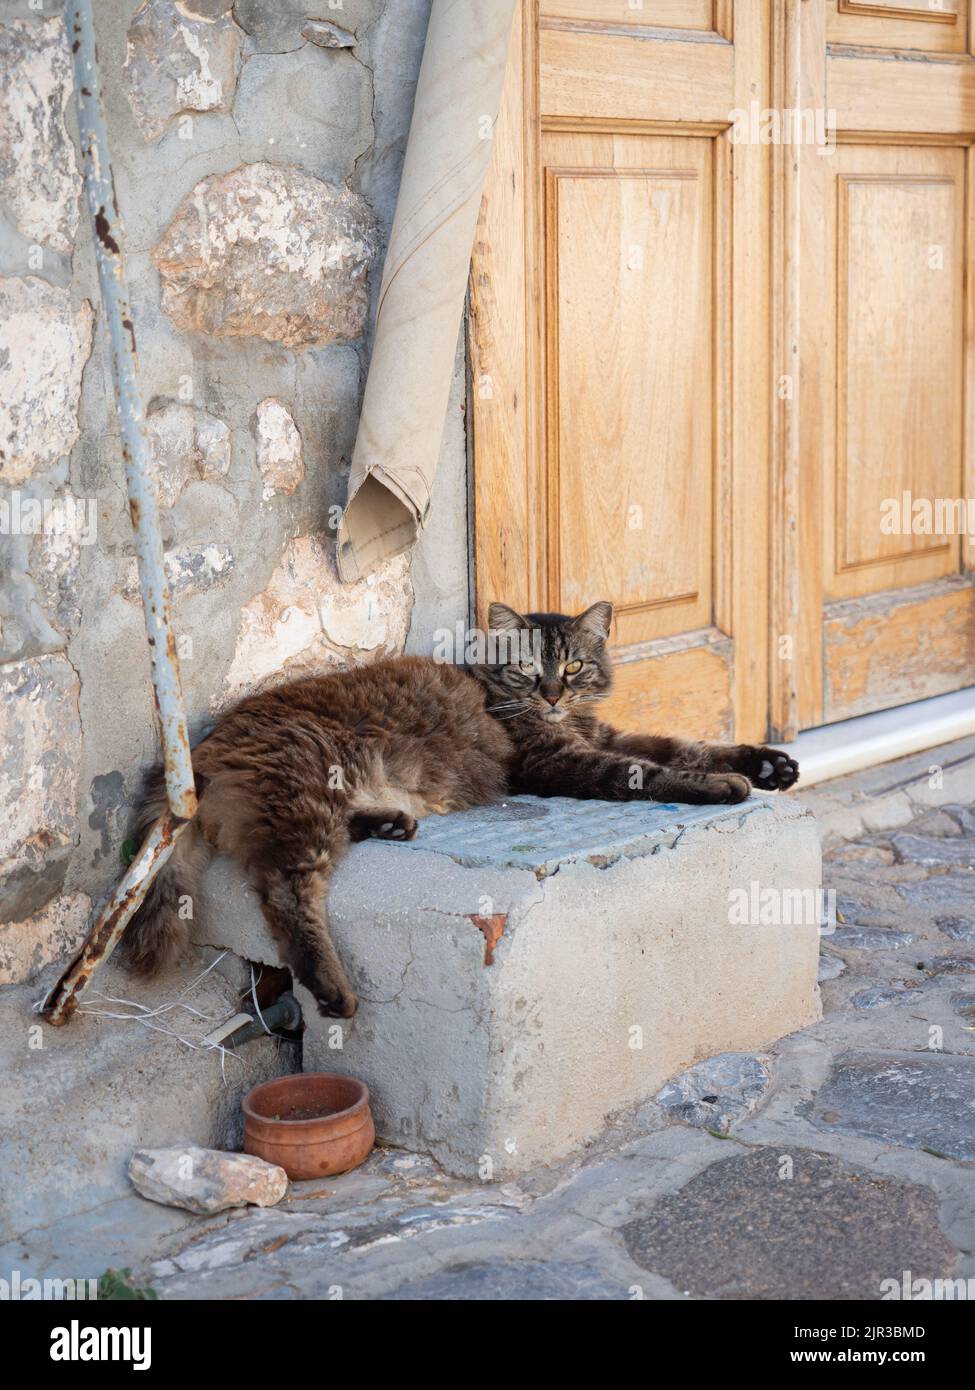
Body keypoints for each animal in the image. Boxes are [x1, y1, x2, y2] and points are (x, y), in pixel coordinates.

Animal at [125, 600, 795, 1023]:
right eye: (527, 670)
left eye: (573, 666)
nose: (554, 695)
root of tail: (201, 751)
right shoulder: (560, 762)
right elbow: (658, 772)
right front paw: (726, 785)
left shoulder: (607, 736)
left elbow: (684, 746)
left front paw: (767, 765)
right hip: (306, 797)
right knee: (288, 893)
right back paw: (333, 990)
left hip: (319, 802)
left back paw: (390, 823)